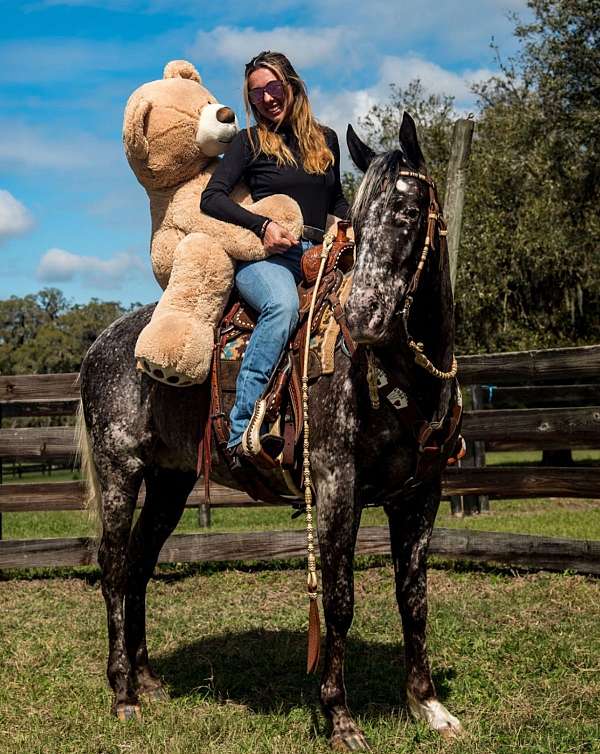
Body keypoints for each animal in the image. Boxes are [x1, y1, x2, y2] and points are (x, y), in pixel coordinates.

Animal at [79, 111, 462, 748]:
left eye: (408, 212)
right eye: (358, 224)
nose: (361, 318)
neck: (400, 375)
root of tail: (98, 347)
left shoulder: (421, 493)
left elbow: (414, 598)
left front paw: (427, 705)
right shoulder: (335, 484)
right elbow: (338, 598)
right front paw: (339, 717)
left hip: (169, 483)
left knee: (138, 564)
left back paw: (148, 680)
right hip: (119, 472)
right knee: (112, 565)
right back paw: (122, 693)